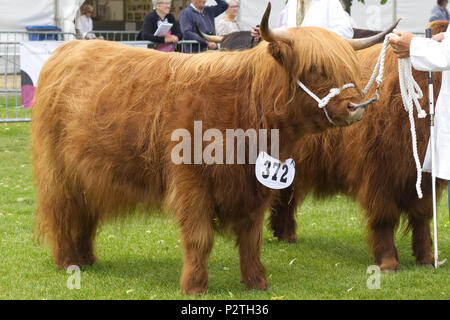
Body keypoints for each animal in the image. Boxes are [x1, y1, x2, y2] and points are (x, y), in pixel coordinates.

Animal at [31, 3, 388, 296]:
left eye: (346, 68)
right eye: (315, 69)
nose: (356, 107)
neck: (244, 108)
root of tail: (70, 47)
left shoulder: (254, 185)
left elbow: (252, 237)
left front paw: (257, 281)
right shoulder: (191, 183)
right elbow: (199, 237)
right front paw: (195, 286)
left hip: (89, 174)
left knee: (84, 214)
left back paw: (87, 258)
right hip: (59, 173)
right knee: (62, 213)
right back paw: (68, 261)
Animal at [268, 20, 448, 270]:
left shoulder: (425, 176)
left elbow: (422, 215)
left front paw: (427, 258)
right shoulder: (378, 173)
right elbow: (385, 216)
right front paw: (388, 262)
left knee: (287, 193)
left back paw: (286, 235)